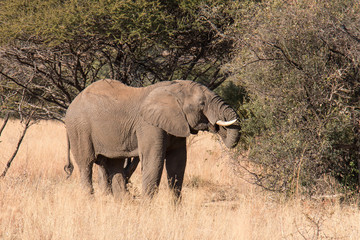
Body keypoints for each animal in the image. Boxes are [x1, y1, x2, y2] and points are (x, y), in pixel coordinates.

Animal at [63, 79, 240, 199]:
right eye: (202, 104)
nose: (216, 125)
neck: (173, 88)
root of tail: (70, 106)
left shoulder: (175, 123)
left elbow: (178, 162)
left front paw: (176, 210)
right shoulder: (148, 125)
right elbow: (154, 160)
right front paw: (147, 209)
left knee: (115, 164)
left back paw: (122, 203)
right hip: (79, 129)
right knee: (86, 164)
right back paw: (91, 200)